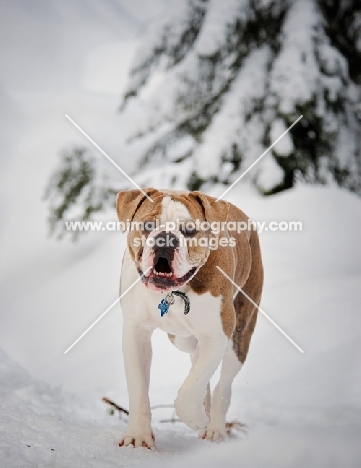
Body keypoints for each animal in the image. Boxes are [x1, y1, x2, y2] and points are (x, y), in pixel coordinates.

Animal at [116, 188, 262, 448]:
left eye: (189, 230)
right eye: (148, 225)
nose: (165, 239)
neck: (172, 293)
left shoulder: (216, 335)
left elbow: (190, 390)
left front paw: (196, 419)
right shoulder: (135, 332)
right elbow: (138, 387)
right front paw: (138, 436)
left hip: (239, 334)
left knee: (223, 384)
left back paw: (214, 427)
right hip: (182, 339)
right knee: (196, 359)